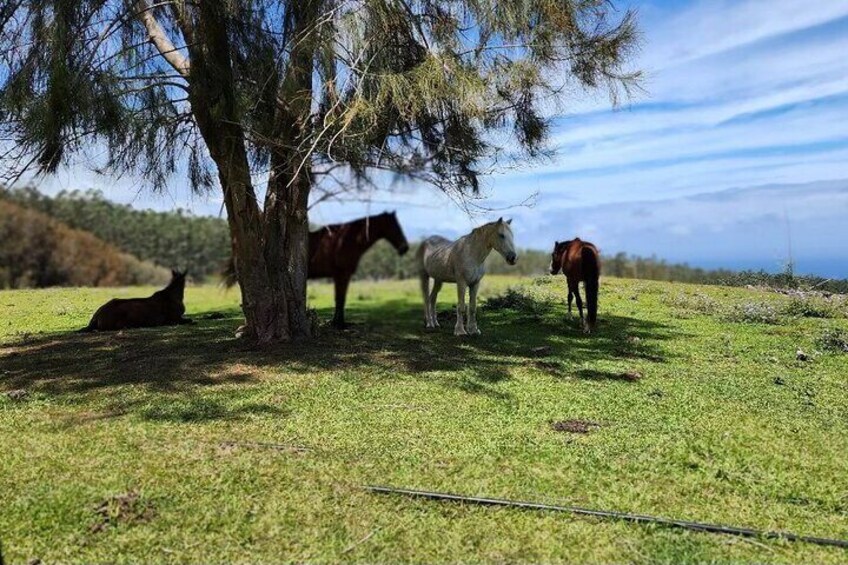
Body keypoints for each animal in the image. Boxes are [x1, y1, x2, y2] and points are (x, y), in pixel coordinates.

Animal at [224, 210, 410, 326]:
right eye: (394, 226)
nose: (405, 248)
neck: (346, 240)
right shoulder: (342, 275)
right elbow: (340, 299)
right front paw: (339, 324)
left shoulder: (342, 276)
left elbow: (340, 299)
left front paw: (338, 322)